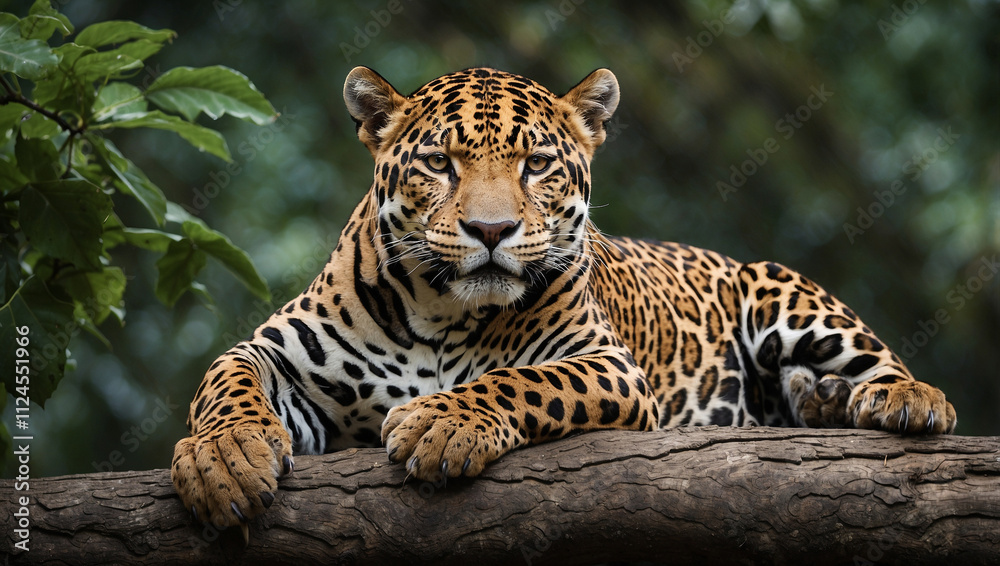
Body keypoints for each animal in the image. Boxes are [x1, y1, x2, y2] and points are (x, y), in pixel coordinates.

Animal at [171, 66, 957, 532]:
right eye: (439, 163)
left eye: (537, 164)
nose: (491, 230)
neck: (441, 312)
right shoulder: (280, 354)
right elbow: (226, 378)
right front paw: (225, 458)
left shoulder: (608, 364)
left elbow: (521, 382)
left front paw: (441, 424)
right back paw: (822, 400)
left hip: (775, 287)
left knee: (887, 367)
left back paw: (893, 399)